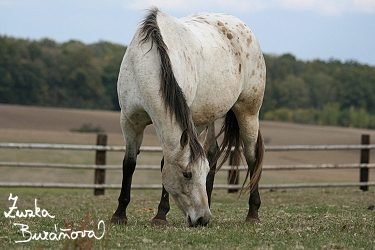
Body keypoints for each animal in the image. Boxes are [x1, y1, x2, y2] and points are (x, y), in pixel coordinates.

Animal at [110, 7, 266, 227]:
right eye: (187, 174)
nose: (202, 218)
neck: (146, 66)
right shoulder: (130, 122)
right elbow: (129, 164)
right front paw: (119, 214)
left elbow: (163, 162)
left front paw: (160, 215)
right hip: (209, 116)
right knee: (212, 151)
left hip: (248, 112)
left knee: (252, 157)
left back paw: (253, 213)